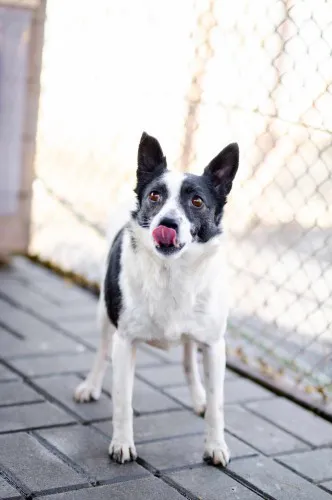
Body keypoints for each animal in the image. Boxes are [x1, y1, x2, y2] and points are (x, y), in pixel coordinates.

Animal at [74, 132, 239, 464]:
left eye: (197, 201)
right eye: (155, 196)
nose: (168, 224)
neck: (172, 273)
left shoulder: (215, 346)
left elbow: (217, 406)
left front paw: (216, 446)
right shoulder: (124, 342)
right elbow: (122, 400)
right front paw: (122, 443)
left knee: (188, 360)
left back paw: (199, 398)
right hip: (104, 315)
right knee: (101, 352)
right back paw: (90, 386)